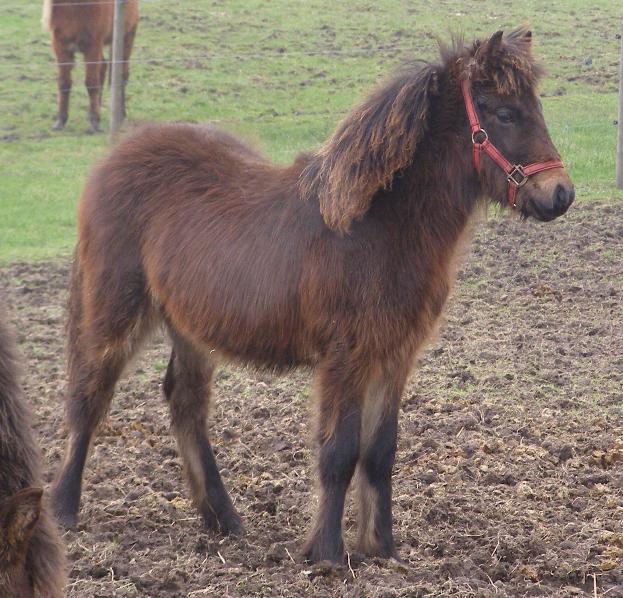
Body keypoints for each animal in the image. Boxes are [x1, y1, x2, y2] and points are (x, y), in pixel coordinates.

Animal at [43, 0, 140, 132]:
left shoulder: (93, 45)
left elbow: (91, 83)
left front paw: (95, 122)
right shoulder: (60, 46)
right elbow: (64, 83)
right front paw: (60, 121)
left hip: (127, 37)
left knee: (121, 76)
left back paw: (121, 115)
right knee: (104, 68)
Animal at [52, 31, 576, 568]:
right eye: (504, 113)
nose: (560, 194)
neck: (374, 225)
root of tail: (116, 155)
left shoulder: (394, 356)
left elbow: (380, 452)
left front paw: (381, 549)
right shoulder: (345, 358)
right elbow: (340, 451)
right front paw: (326, 553)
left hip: (190, 328)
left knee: (186, 405)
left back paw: (223, 518)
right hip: (115, 310)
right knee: (89, 397)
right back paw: (63, 510)